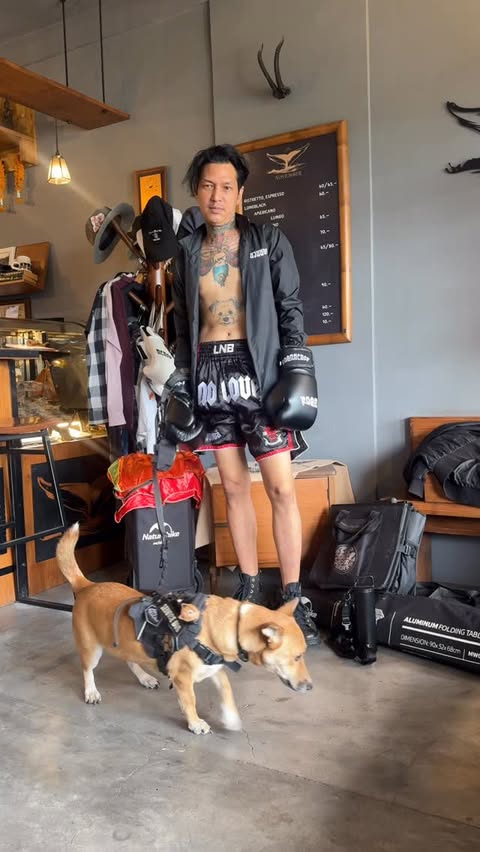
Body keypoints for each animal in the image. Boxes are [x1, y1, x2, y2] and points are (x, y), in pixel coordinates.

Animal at [56, 525, 313, 734]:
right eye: (297, 657)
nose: (310, 687)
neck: (229, 623)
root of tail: (86, 585)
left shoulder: (215, 669)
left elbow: (227, 691)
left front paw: (231, 719)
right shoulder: (182, 678)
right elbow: (190, 701)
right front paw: (196, 723)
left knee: (129, 659)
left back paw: (144, 678)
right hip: (92, 649)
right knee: (88, 670)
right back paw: (91, 692)